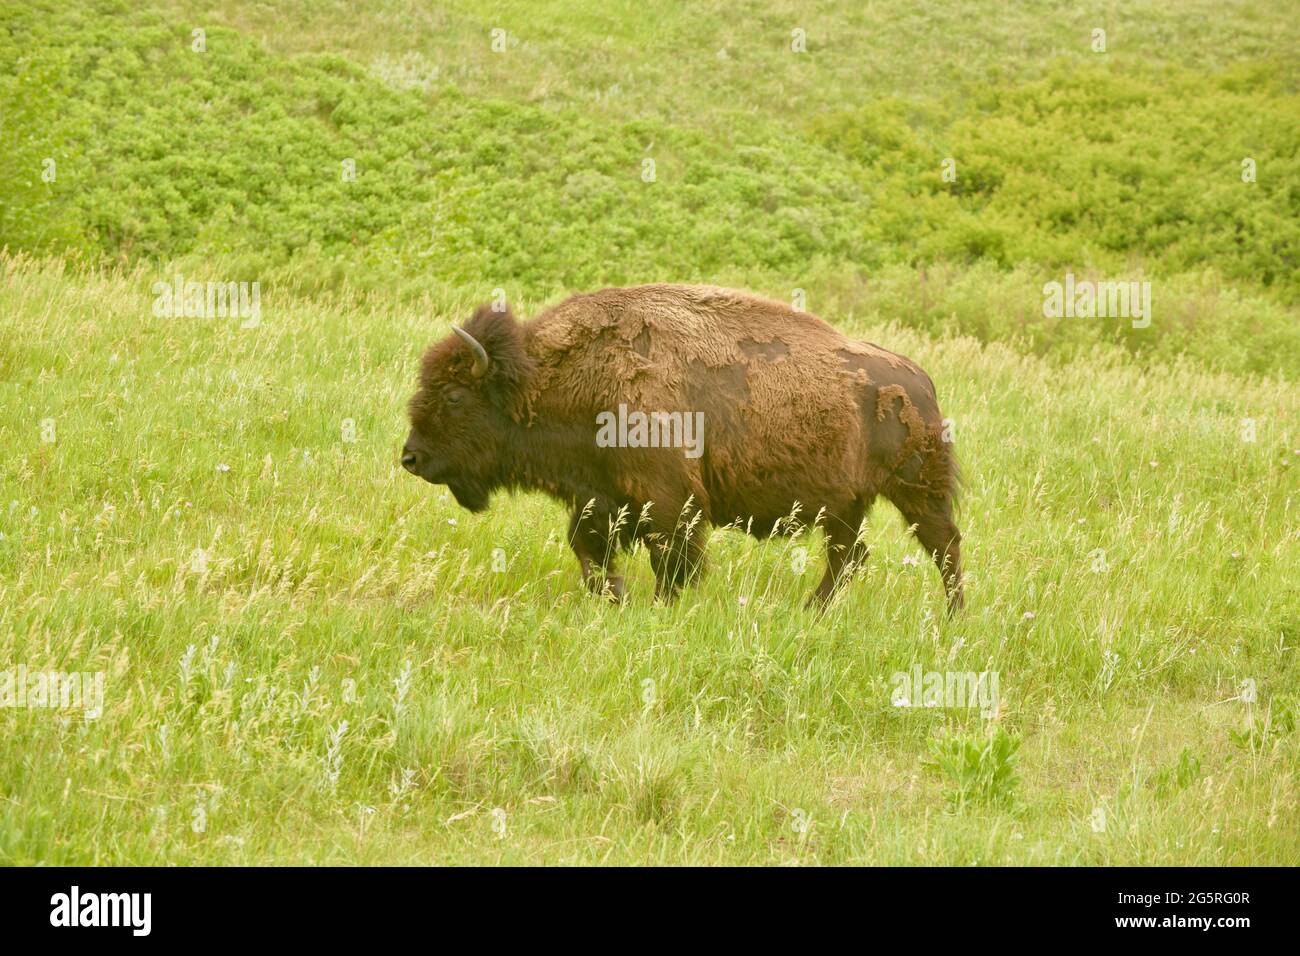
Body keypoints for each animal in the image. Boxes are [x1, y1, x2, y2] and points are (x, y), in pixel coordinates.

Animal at [400, 286, 961, 613]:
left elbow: (671, 558)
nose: (410, 457)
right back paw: (810, 612)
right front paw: (616, 599)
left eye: (454, 396)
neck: (546, 378)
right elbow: (588, 551)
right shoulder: (599, 495)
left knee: (944, 547)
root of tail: (923, 382)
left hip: (916, 492)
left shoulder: (667, 499)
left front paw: (659, 607)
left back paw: (953, 618)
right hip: (847, 504)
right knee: (849, 557)